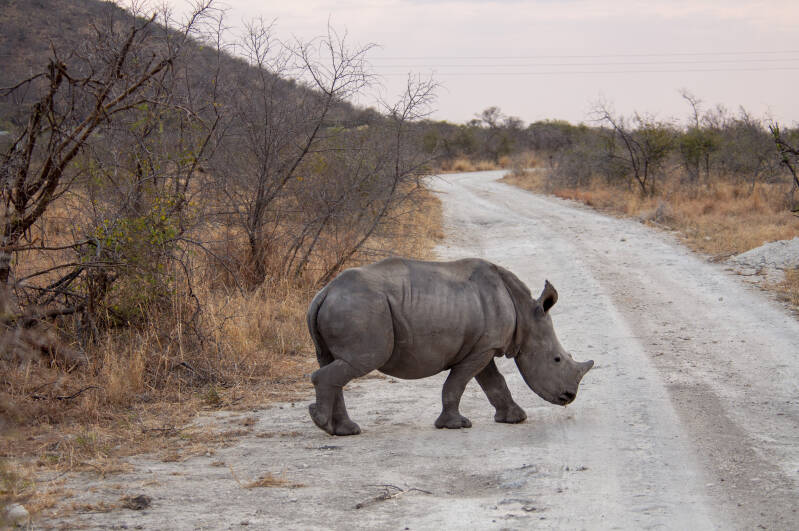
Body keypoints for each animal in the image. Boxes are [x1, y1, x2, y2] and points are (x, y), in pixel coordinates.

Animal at [306, 257, 593, 435]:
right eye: (557, 359)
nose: (569, 397)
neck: (525, 314)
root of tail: (325, 292)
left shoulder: (484, 347)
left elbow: (494, 383)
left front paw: (515, 418)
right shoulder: (482, 349)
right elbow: (459, 382)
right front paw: (456, 425)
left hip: (346, 306)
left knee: (334, 362)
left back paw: (343, 430)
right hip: (360, 308)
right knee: (359, 362)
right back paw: (324, 423)